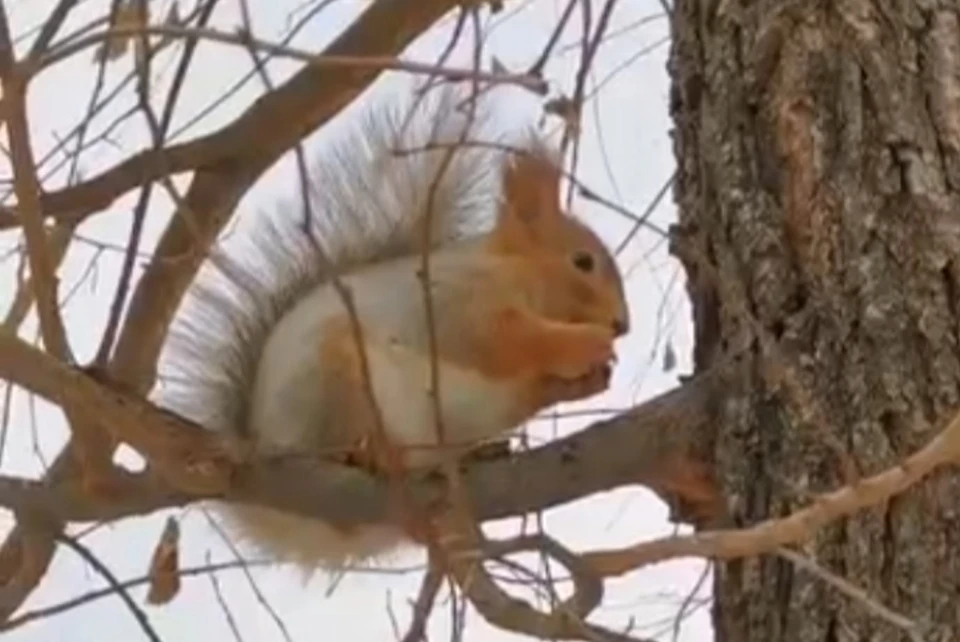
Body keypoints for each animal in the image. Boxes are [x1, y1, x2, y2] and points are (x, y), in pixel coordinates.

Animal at [158, 85, 632, 568]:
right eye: (583, 262)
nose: (622, 325)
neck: (511, 272)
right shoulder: (452, 302)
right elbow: (498, 340)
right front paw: (584, 344)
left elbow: (530, 387)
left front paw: (587, 382)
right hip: (336, 380)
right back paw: (382, 455)